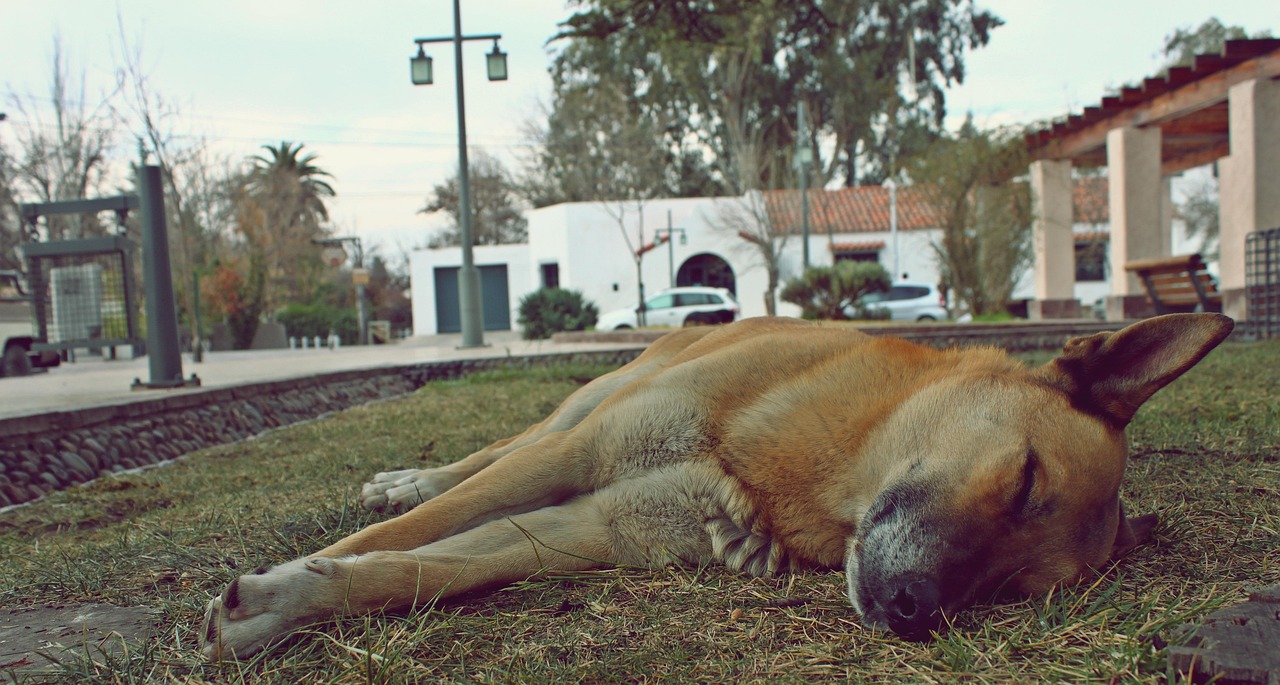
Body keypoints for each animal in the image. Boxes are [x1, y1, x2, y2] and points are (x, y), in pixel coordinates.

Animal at [199, 314, 1228, 660]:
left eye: (1014, 588)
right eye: (1023, 480)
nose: (912, 609)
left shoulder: (593, 526)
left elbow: (421, 569)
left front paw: (287, 605)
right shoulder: (580, 460)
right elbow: (405, 533)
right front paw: (288, 578)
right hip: (587, 409)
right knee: (488, 454)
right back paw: (400, 477)